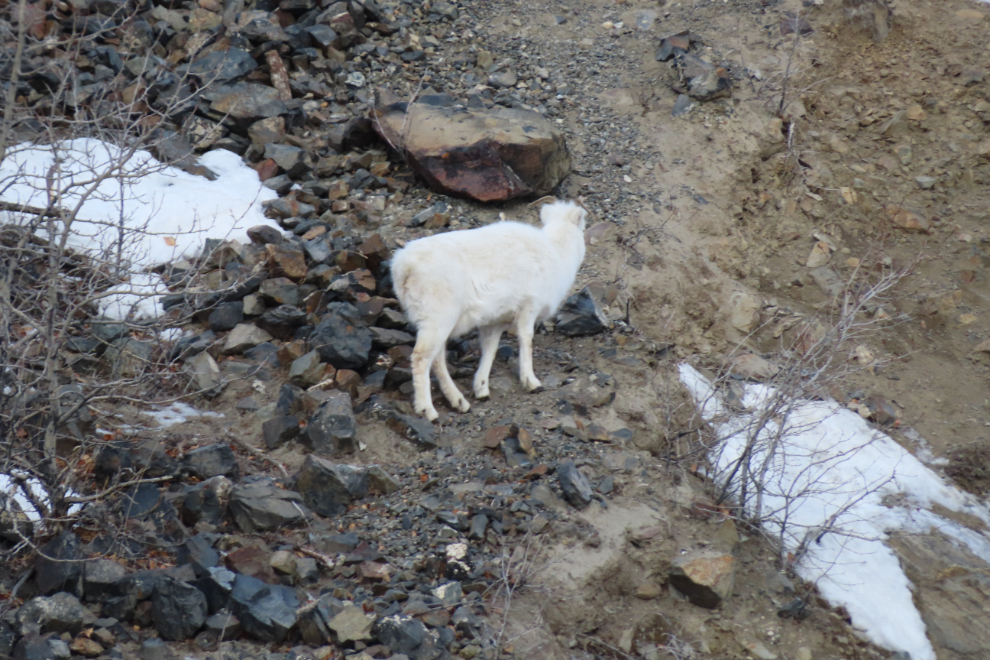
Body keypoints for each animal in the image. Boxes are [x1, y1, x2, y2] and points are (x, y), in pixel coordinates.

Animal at [391, 199, 588, 421]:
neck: (556, 252)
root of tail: (403, 267)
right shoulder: (529, 308)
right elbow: (526, 340)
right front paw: (532, 383)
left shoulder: (494, 322)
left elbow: (490, 349)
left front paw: (481, 389)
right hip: (437, 319)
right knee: (421, 358)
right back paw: (428, 410)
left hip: (436, 323)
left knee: (437, 359)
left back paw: (459, 402)